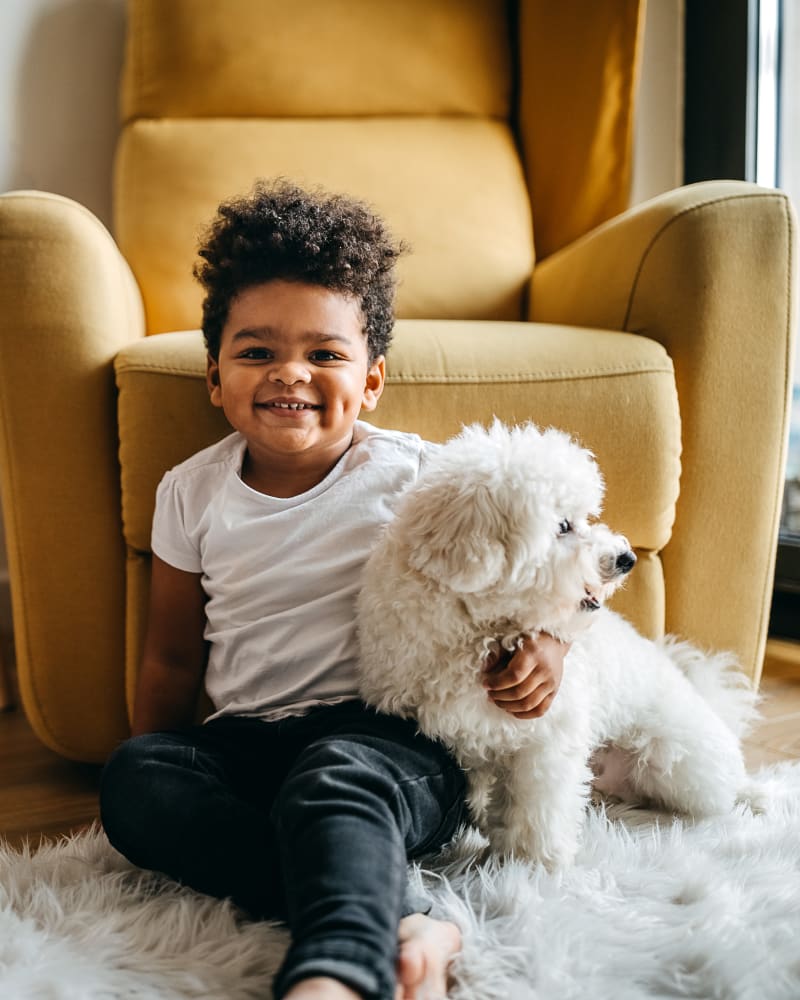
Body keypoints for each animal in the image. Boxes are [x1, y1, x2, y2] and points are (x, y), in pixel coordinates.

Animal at [358, 420, 764, 868]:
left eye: (583, 517)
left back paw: (754, 796)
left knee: (723, 784)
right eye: (562, 526)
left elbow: (538, 806)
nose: (626, 558)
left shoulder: (546, 738)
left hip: (677, 763)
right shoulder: (460, 735)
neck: (479, 630)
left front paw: (531, 864)